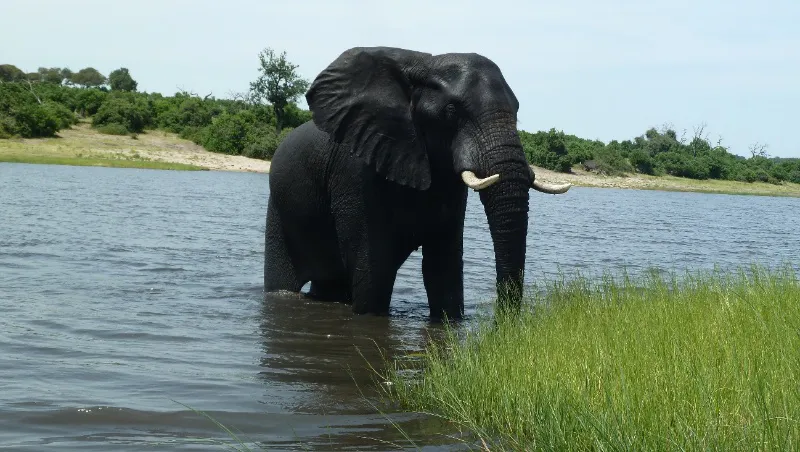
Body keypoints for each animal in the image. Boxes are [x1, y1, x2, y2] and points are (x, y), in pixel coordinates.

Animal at [263, 46, 571, 320]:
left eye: (517, 109)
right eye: (451, 110)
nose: (502, 326)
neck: (423, 64)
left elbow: (442, 268)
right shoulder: (356, 173)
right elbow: (373, 272)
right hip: (279, 207)